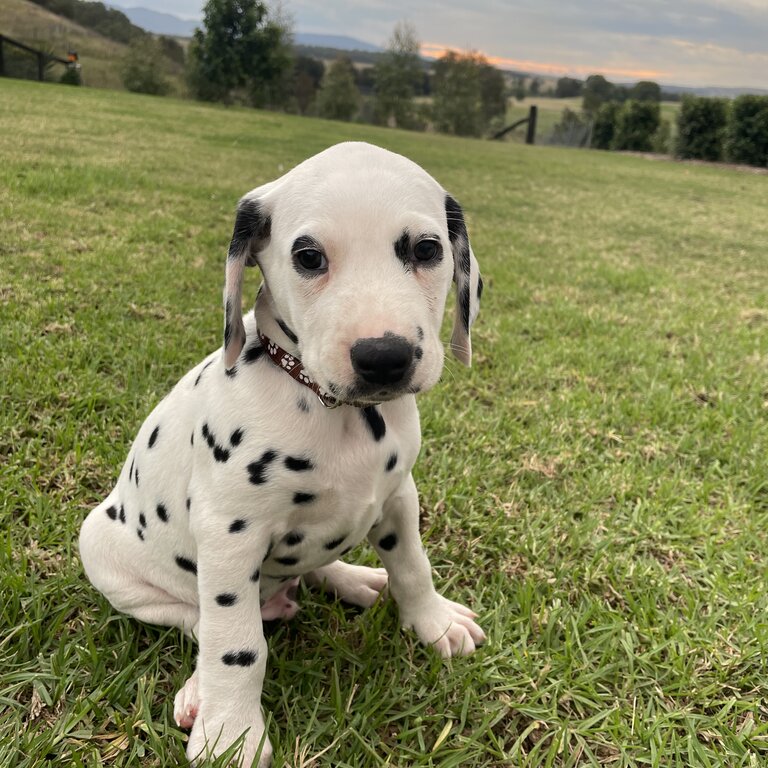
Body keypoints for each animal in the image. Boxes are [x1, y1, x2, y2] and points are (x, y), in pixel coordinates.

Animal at [78, 141, 486, 764]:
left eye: (426, 249)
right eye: (309, 257)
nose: (383, 357)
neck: (332, 409)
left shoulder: (398, 497)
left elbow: (413, 566)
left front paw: (434, 623)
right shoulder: (229, 534)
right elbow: (235, 644)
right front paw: (230, 733)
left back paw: (355, 578)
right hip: (102, 547)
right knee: (197, 621)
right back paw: (199, 691)